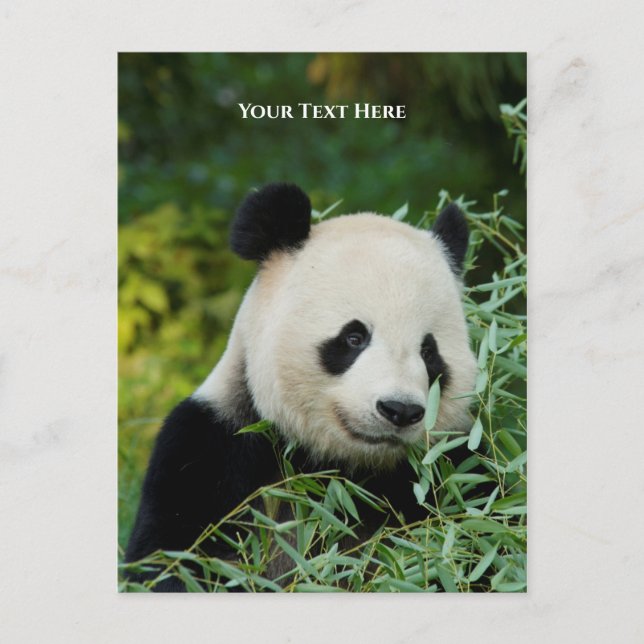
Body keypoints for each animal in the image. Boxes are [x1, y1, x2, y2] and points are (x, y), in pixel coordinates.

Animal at [124, 183, 477, 591]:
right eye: (354, 338)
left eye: (429, 352)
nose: (399, 410)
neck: (343, 471)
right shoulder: (208, 452)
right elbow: (174, 562)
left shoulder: (454, 468)